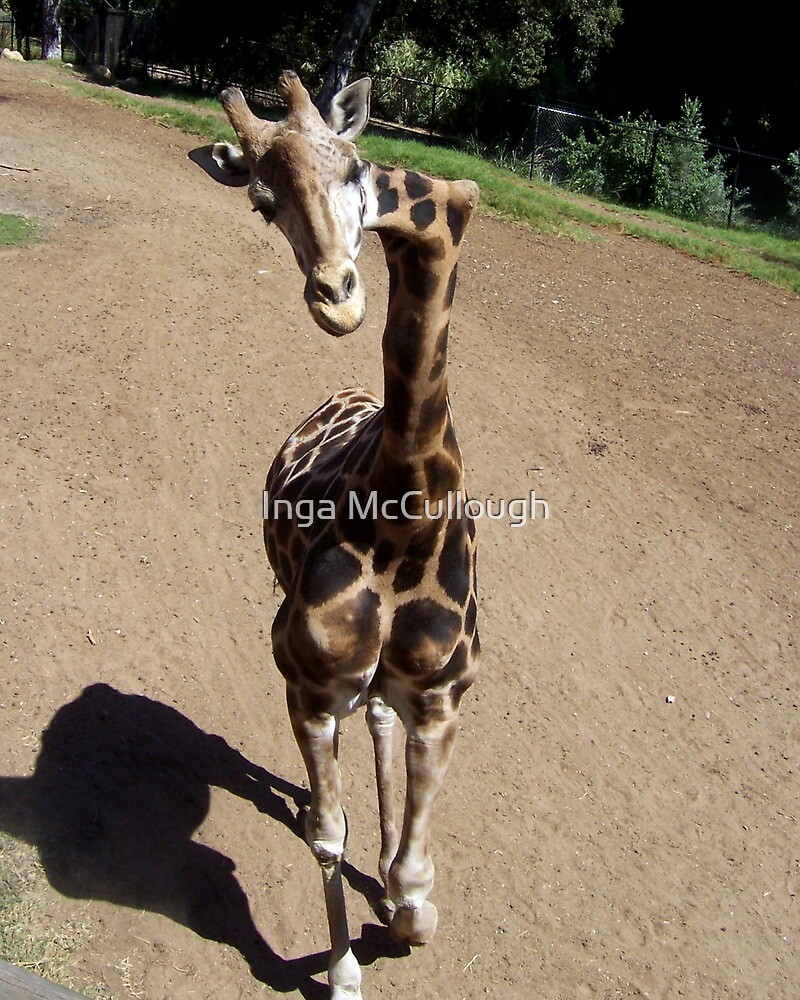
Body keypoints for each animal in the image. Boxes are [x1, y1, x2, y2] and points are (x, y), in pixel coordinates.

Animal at [192, 72, 482, 1000]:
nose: (339, 298)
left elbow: (419, 891)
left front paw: (397, 897)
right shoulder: (309, 683)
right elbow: (327, 834)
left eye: (354, 167)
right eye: (261, 203)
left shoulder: (441, 694)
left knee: (380, 721)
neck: (404, 512)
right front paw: (346, 970)